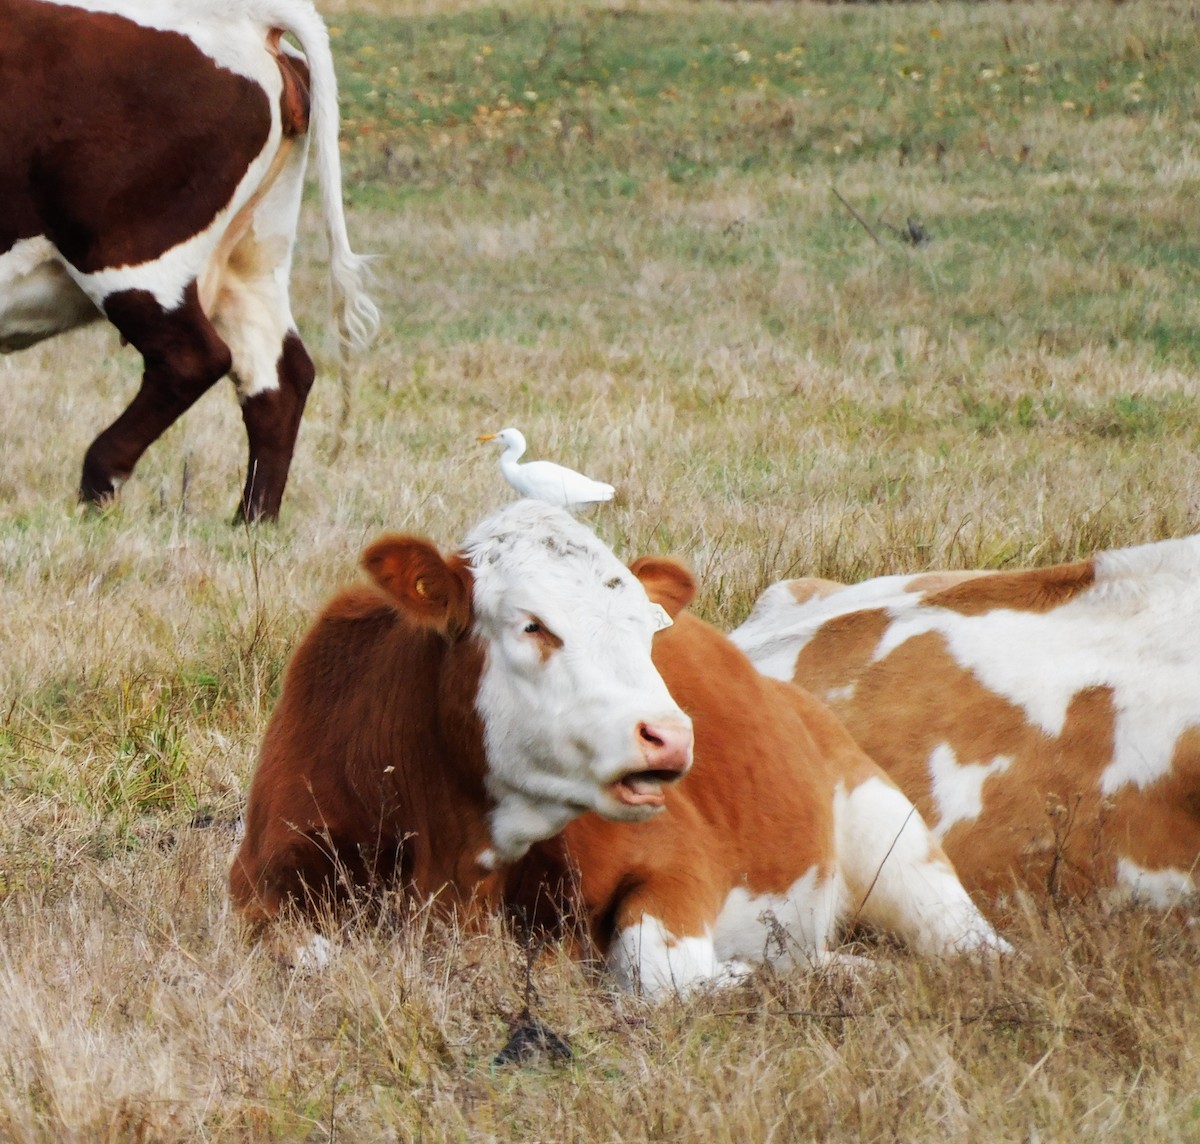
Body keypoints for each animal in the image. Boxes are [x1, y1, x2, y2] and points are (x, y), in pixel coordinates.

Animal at [1, 0, 378, 521]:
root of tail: (245, 18)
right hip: (252, 261)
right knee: (279, 375)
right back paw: (251, 521)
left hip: (131, 258)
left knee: (193, 359)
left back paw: (99, 482)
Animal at [229, 500, 1004, 997]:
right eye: (533, 625)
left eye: (644, 625)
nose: (672, 733)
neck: (455, 865)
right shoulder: (259, 884)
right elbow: (313, 957)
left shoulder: (677, 860)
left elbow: (656, 973)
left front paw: (751, 973)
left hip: (891, 832)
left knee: (968, 941)